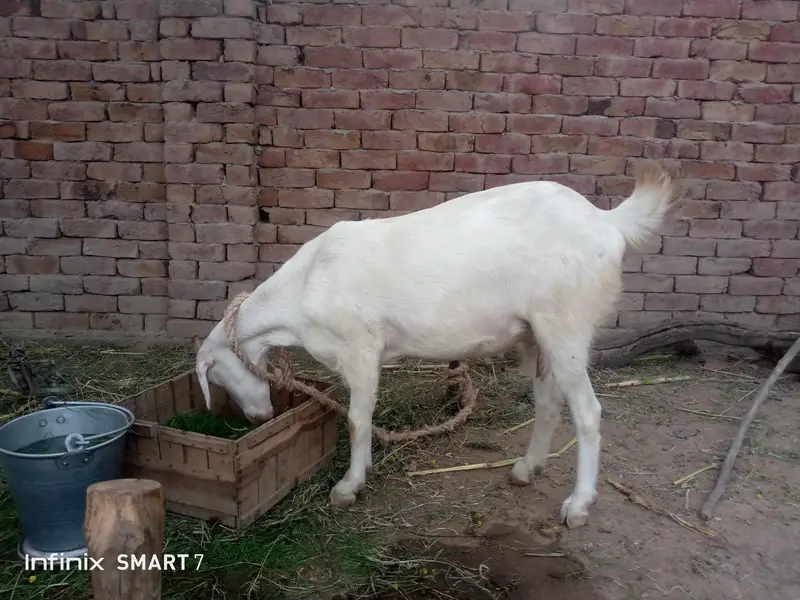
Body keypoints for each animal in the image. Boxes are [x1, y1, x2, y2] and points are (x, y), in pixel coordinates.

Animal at [194, 162, 680, 528]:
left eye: (216, 375)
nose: (259, 417)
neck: (307, 285)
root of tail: (606, 221)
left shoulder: (361, 349)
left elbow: (356, 419)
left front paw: (349, 487)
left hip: (567, 327)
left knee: (589, 413)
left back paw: (578, 506)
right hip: (537, 336)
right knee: (547, 404)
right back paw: (526, 470)